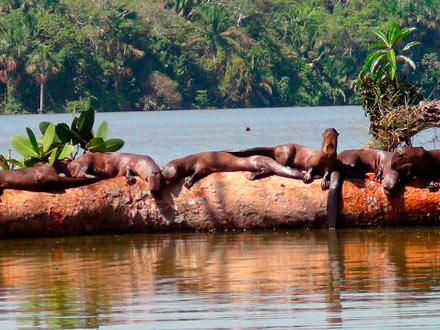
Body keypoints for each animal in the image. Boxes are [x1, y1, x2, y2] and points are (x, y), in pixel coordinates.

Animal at [162, 151, 310, 188]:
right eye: (163, 175)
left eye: (171, 177)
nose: (166, 183)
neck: (192, 160)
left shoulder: (203, 165)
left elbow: (198, 173)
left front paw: (188, 180)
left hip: (253, 162)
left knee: (267, 170)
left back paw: (252, 176)